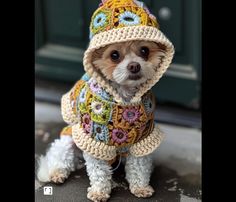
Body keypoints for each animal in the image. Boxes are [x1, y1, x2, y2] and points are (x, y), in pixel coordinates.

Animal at [36, 0, 174, 201]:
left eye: (144, 50)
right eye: (114, 55)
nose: (134, 66)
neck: (124, 97)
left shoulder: (142, 139)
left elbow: (139, 167)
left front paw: (141, 187)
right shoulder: (94, 140)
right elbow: (99, 172)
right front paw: (99, 192)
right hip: (68, 140)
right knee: (61, 156)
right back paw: (57, 172)